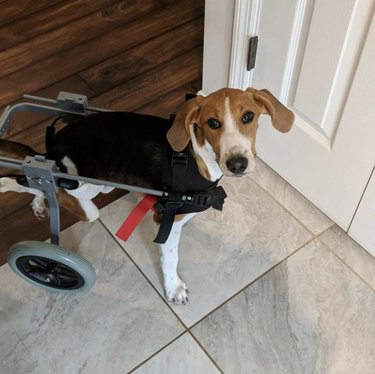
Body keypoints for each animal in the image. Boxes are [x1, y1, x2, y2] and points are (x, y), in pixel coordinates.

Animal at [0, 87, 296, 304]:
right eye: (212, 123)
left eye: (248, 117)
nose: (237, 164)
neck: (198, 155)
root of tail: (52, 148)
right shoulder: (168, 218)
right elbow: (170, 255)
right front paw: (174, 287)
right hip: (87, 186)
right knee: (46, 187)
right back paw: (14, 185)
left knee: (42, 184)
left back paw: (39, 202)